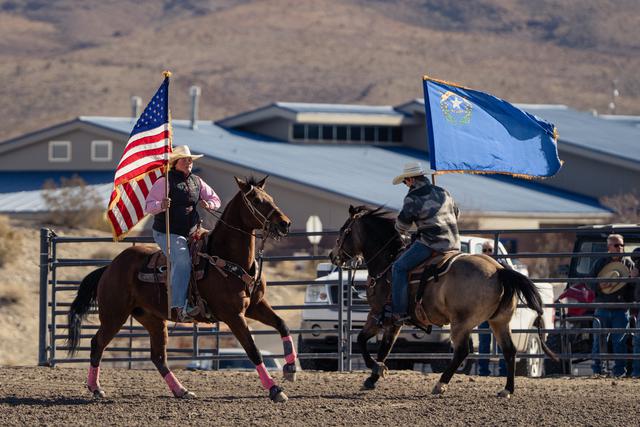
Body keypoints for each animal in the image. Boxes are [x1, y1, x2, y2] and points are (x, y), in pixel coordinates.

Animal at [67, 176, 296, 402]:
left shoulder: (255, 306)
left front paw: (291, 368)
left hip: (152, 319)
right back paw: (95, 388)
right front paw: (275, 389)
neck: (227, 258)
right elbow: (253, 350)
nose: (285, 223)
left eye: (271, 198)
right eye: (257, 201)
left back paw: (181, 390)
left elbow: (282, 325)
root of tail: (110, 267)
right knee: (97, 343)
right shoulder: (233, 315)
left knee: (158, 357)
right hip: (114, 315)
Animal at [329, 205, 557, 398]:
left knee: (462, 352)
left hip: (462, 323)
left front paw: (376, 369)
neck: (388, 262)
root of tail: (499, 270)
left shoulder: (377, 314)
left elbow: (362, 341)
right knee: (509, 351)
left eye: (343, 231)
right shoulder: (394, 321)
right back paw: (507, 389)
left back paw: (440, 384)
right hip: (499, 321)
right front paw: (373, 378)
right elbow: (385, 348)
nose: (333, 256)